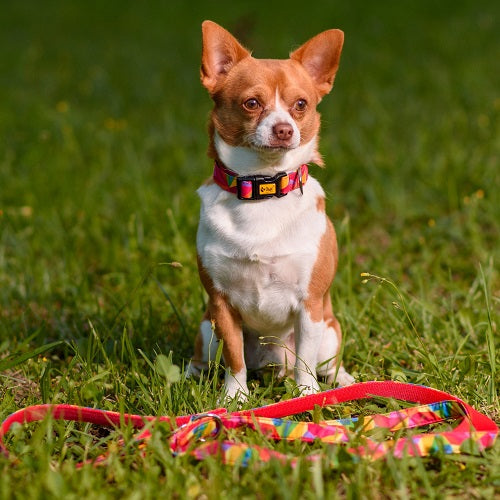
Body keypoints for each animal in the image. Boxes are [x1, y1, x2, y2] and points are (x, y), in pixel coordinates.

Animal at [188, 21, 356, 400]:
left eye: (301, 105)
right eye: (252, 103)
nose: (284, 129)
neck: (262, 188)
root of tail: (273, 365)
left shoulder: (309, 306)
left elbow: (306, 361)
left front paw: (307, 395)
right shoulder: (221, 305)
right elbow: (234, 357)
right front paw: (234, 397)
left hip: (329, 331)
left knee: (323, 363)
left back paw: (342, 380)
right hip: (207, 329)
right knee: (210, 358)